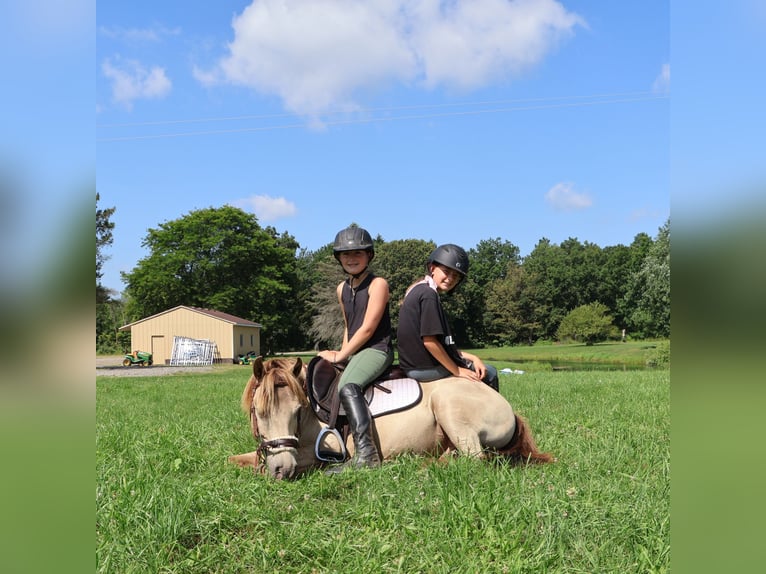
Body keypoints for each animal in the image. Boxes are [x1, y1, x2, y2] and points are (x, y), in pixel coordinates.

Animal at [228, 356, 553, 480]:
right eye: (259, 412)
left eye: (297, 411)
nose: (282, 469)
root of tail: (509, 408)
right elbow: (234, 459)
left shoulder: (326, 452)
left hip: (448, 404)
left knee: (474, 458)